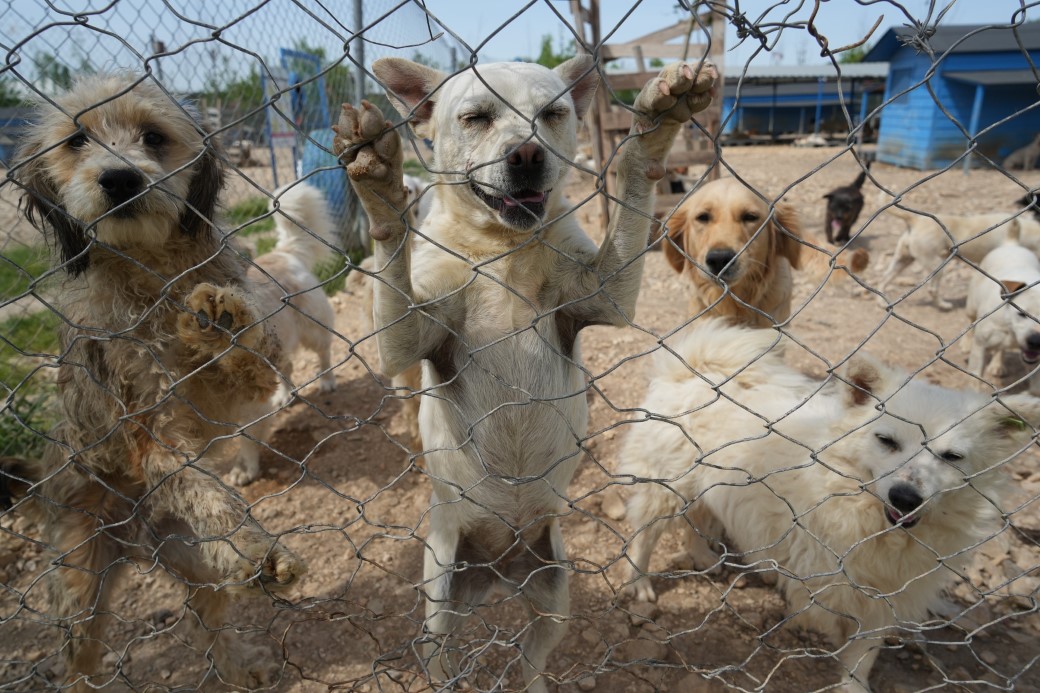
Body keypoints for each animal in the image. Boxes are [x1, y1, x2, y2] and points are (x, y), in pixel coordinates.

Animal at [332, 54, 715, 686]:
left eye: (553, 114)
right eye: (476, 118)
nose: (528, 153)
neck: (502, 251)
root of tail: (499, 573)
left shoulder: (606, 296)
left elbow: (634, 196)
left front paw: (655, 129)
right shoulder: (404, 339)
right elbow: (394, 257)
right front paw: (380, 186)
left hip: (555, 589)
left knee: (534, 653)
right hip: (440, 597)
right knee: (439, 653)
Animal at [615, 320, 1040, 690]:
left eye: (952, 457)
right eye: (886, 440)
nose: (904, 497)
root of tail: (697, 369)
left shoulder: (884, 597)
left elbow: (864, 654)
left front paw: (853, 685)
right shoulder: (832, 578)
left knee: (696, 517)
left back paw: (703, 556)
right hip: (666, 487)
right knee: (644, 537)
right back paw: (639, 583)